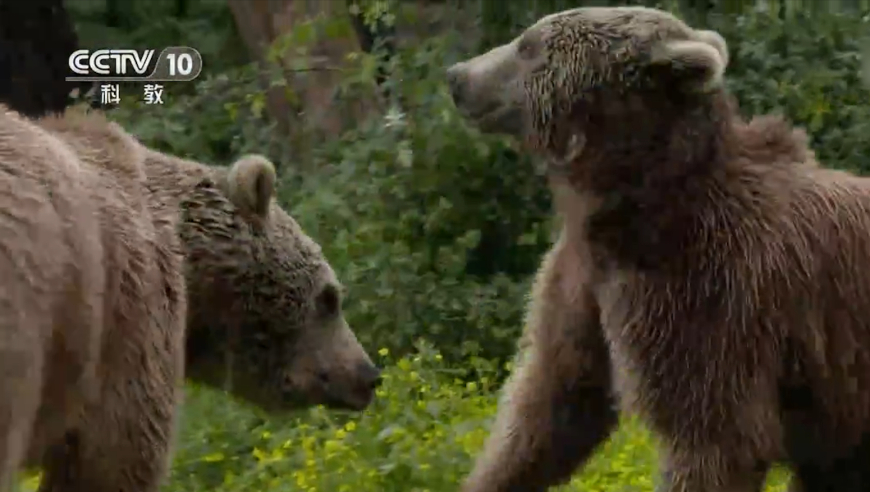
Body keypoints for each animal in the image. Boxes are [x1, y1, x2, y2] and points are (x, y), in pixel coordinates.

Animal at [450, 4, 870, 492]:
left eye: (527, 45)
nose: (457, 77)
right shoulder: (581, 278)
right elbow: (551, 403)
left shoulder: (713, 298)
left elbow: (714, 439)